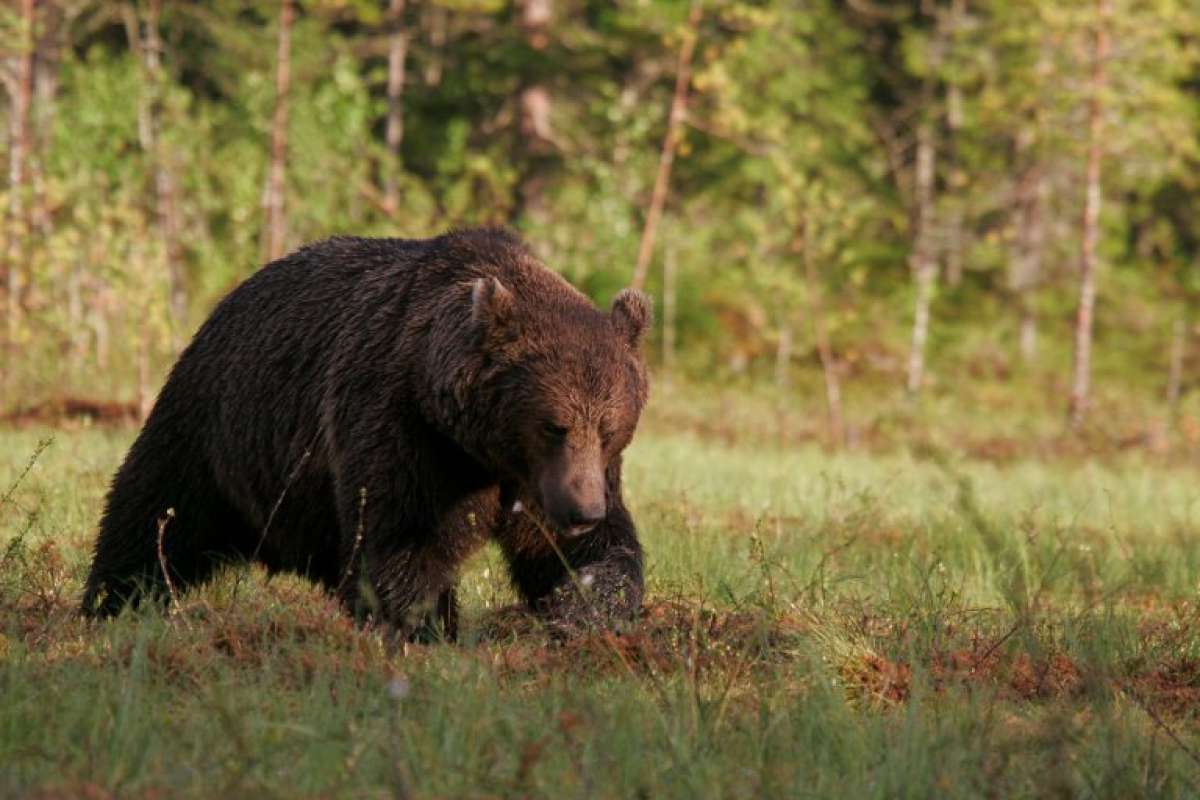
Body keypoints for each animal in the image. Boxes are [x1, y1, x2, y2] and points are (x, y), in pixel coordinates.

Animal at [80, 228, 652, 639]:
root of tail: (228, 299)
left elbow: (587, 552)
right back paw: (111, 603)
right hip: (213, 425)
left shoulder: (539, 482)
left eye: (609, 428)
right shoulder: (402, 425)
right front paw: (424, 627)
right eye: (554, 425)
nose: (582, 510)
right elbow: (401, 540)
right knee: (154, 514)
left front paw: (580, 609)